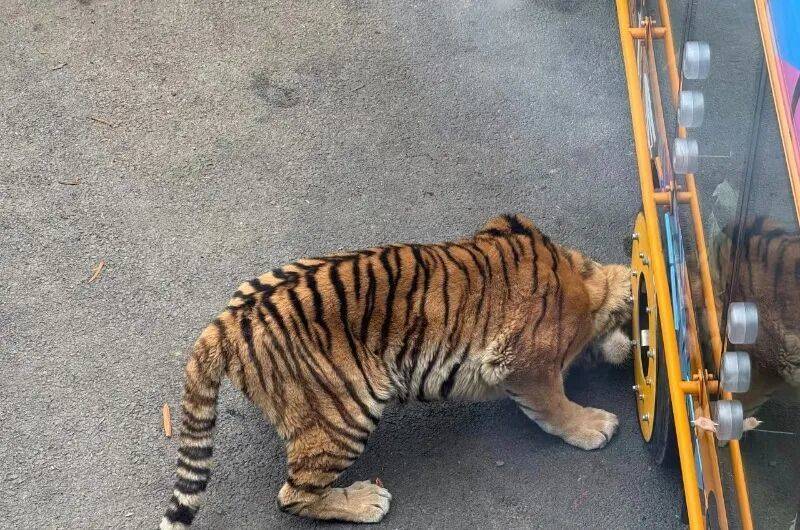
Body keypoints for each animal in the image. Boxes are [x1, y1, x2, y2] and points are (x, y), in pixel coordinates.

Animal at [159, 213, 633, 528]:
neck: (582, 275)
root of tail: (225, 323)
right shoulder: (526, 363)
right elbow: (554, 404)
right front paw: (592, 425)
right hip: (346, 413)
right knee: (293, 494)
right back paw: (366, 500)